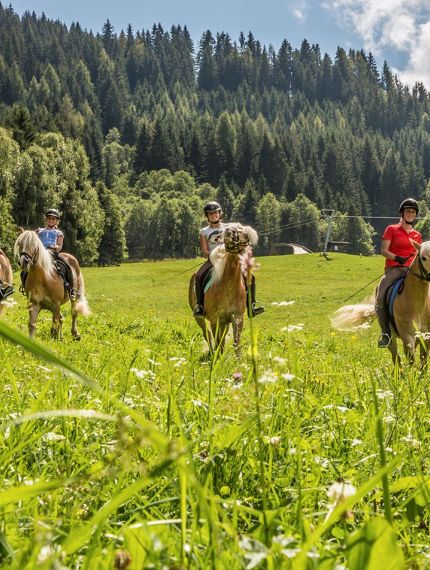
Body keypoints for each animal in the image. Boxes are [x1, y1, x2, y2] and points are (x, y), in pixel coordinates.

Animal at [189, 221, 258, 350]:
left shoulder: (237, 318)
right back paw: (211, 351)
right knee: (206, 333)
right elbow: (218, 343)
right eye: (228, 229)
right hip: (200, 318)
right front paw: (217, 354)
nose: (228, 233)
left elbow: (235, 342)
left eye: (245, 234)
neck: (228, 287)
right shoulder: (214, 320)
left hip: (225, 323)